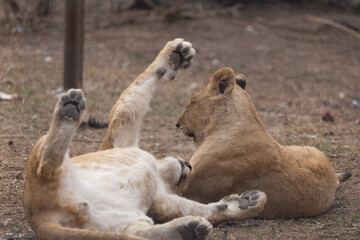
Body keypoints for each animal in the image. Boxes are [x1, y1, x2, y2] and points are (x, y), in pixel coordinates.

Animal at [21, 39, 264, 240]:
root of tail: (41, 217)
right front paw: (176, 53)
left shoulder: (160, 200)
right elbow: (135, 94)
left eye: (182, 183)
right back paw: (69, 108)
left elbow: (197, 208)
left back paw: (189, 229)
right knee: (46, 166)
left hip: (121, 224)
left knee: (144, 234)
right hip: (42, 146)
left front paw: (246, 203)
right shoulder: (120, 136)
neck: (160, 174)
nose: (188, 165)